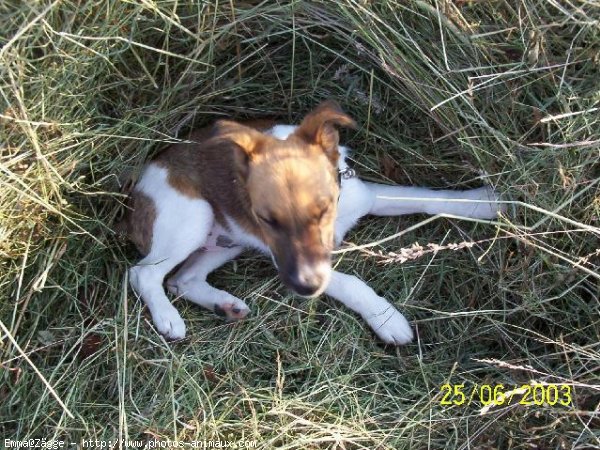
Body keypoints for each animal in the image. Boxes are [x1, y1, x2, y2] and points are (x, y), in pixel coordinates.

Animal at [123, 99, 502, 344]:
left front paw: (485, 202)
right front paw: (386, 318)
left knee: (183, 279)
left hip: (228, 238)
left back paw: (226, 306)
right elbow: (349, 283)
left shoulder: (364, 197)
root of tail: (138, 184)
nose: (303, 286)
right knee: (143, 273)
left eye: (323, 209)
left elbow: (423, 196)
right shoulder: (285, 258)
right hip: (195, 216)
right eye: (267, 219)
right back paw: (168, 318)